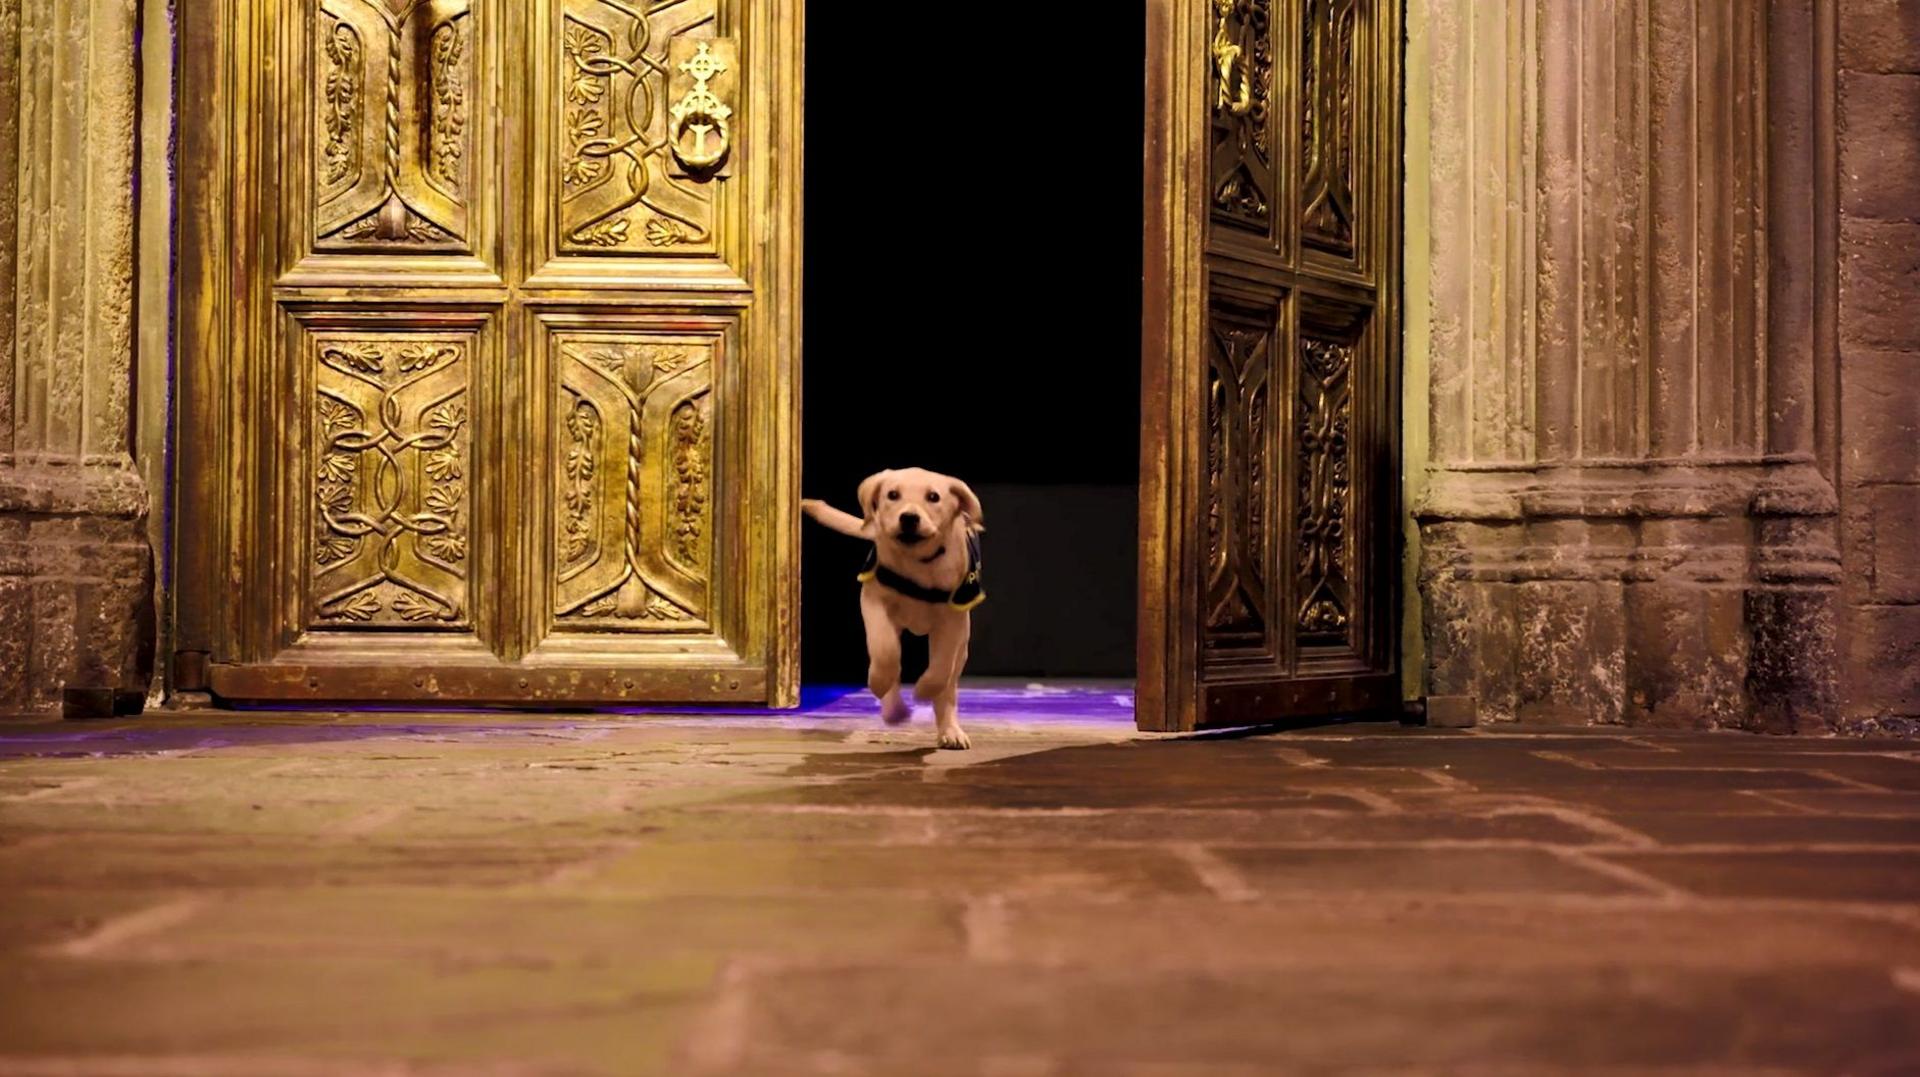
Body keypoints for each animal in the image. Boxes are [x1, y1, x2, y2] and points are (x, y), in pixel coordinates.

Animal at [802, 466, 983, 752]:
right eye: (893, 495)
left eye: (933, 497)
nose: (908, 518)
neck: (918, 563)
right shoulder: (873, 601)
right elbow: (885, 651)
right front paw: (879, 683)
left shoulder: (953, 620)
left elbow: (942, 667)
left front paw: (924, 690)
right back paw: (894, 709)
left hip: (963, 645)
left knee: (949, 685)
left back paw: (950, 731)